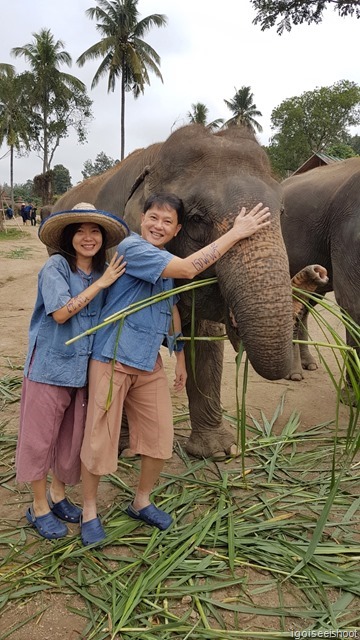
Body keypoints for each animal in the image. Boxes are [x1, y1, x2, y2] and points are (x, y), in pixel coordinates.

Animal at [54, 124, 296, 456]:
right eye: (196, 219)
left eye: (283, 213)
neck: (154, 159)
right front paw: (124, 447)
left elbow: (204, 341)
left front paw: (217, 451)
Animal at [282, 157, 360, 402]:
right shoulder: (347, 234)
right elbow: (352, 302)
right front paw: (351, 399)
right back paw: (294, 373)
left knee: (307, 302)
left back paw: (309, 364)